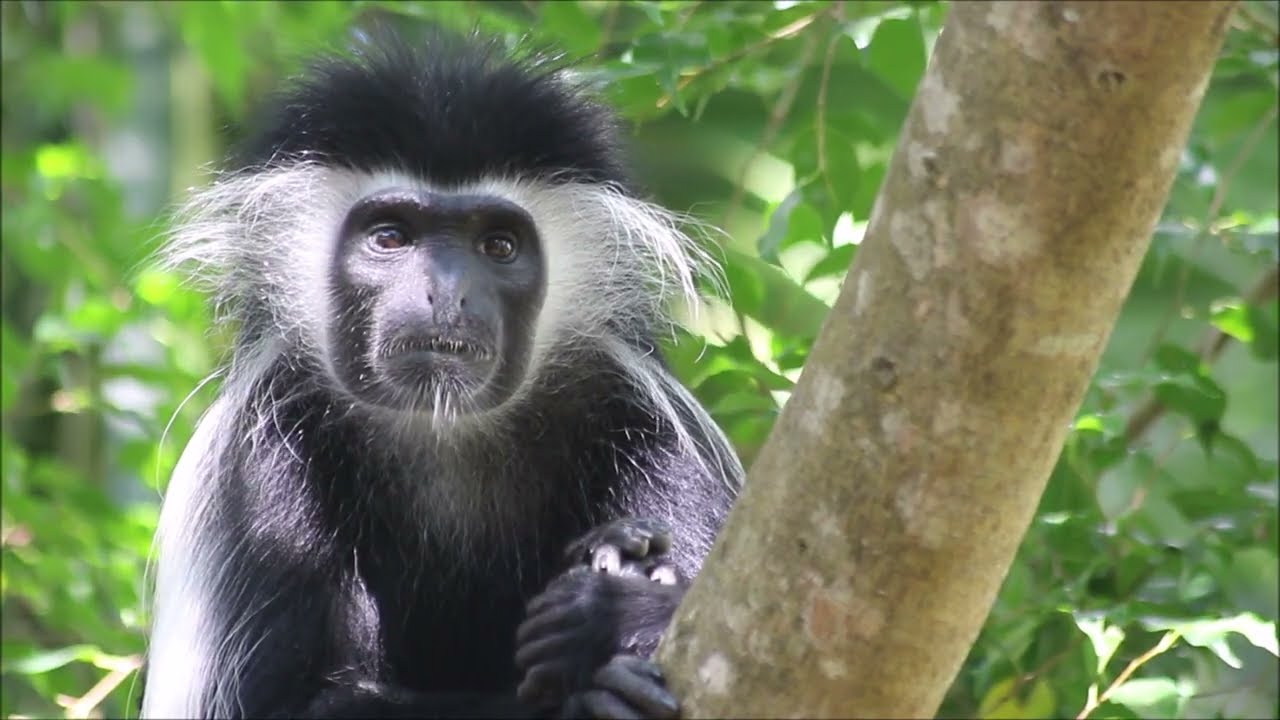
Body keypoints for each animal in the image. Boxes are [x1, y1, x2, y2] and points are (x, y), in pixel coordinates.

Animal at [140, 24, 742, 720]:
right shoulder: (254, 465)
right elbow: (283, 704)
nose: (447, 292)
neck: (443, 428)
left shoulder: (650, 426)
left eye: (499, 246)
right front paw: (593, 655)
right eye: (391, 237)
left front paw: (619, 604)